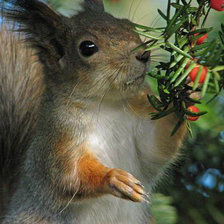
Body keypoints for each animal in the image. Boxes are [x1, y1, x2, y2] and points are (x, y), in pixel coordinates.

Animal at [0, 0, 186, 223]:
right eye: (87, 47)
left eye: (129, 25)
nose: (144, 54)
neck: (108, 105)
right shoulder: (58, 137)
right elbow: (67, 177)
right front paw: (114, 177)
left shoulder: (143, 130)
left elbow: (157, 147)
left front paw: (184, 92)